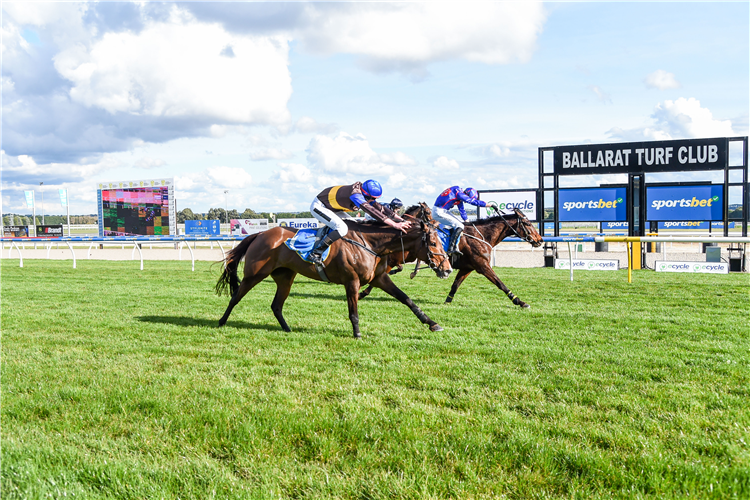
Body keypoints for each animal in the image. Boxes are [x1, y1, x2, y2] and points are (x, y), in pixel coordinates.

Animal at [217, 201, 452, 338]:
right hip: (255, 274)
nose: (448, 269)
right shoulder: (352, 281)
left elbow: (406, 299)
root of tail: (260, 234)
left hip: (285, 277)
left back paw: (287, 329)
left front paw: (432, 323)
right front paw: (357, 334)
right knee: (235, 296)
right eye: (433, 243)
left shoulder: (379, 278)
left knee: (276, 305)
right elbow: (353, 311)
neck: (370, 243)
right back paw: (221, 322)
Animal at [360, 207, 548, 308]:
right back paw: (363, 292)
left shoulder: (467, 267)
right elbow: (500, 283)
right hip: (394, 259)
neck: (481, 236)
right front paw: (519, 301)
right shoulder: (482, 266)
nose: (540, 240)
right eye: (528, 223)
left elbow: (455, 285)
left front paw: (447, 302)